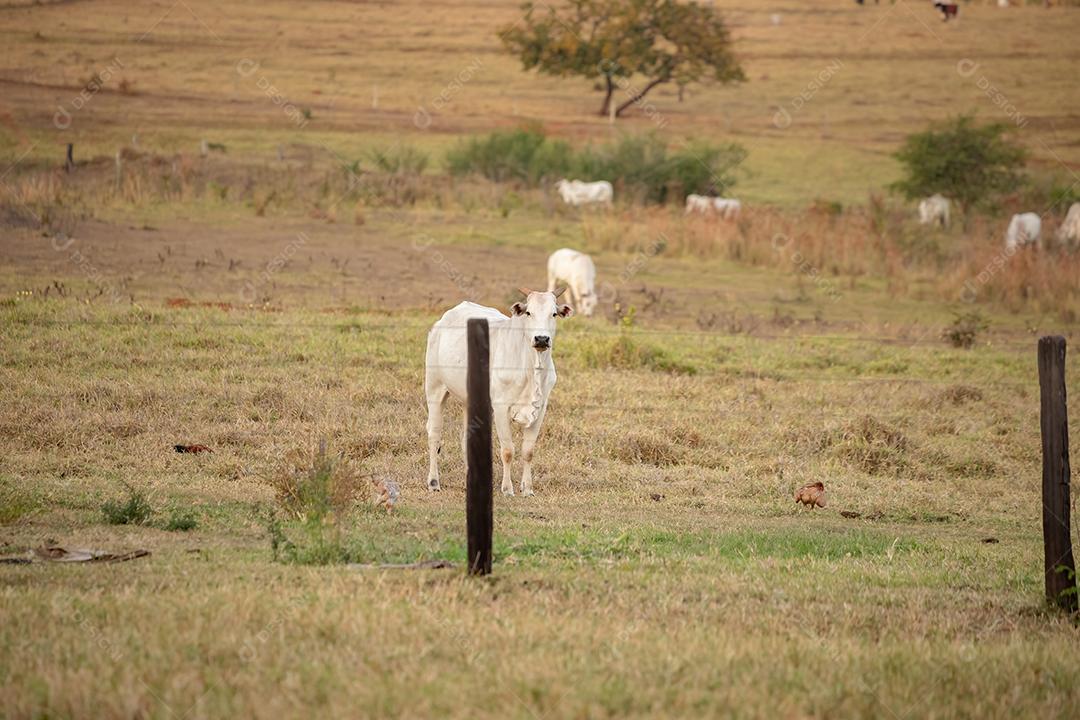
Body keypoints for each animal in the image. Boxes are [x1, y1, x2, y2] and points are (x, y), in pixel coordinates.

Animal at [424, 289, 573, 497]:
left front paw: (527, 489)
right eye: (529, 313)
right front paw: (507, 489)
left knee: (466, 438)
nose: (542, 339)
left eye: (554, 314)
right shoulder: (501, 407)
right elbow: (508, 450)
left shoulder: (541, 408)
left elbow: (528, 451)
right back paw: (433, 482)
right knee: (434, 435)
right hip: (434, 389)